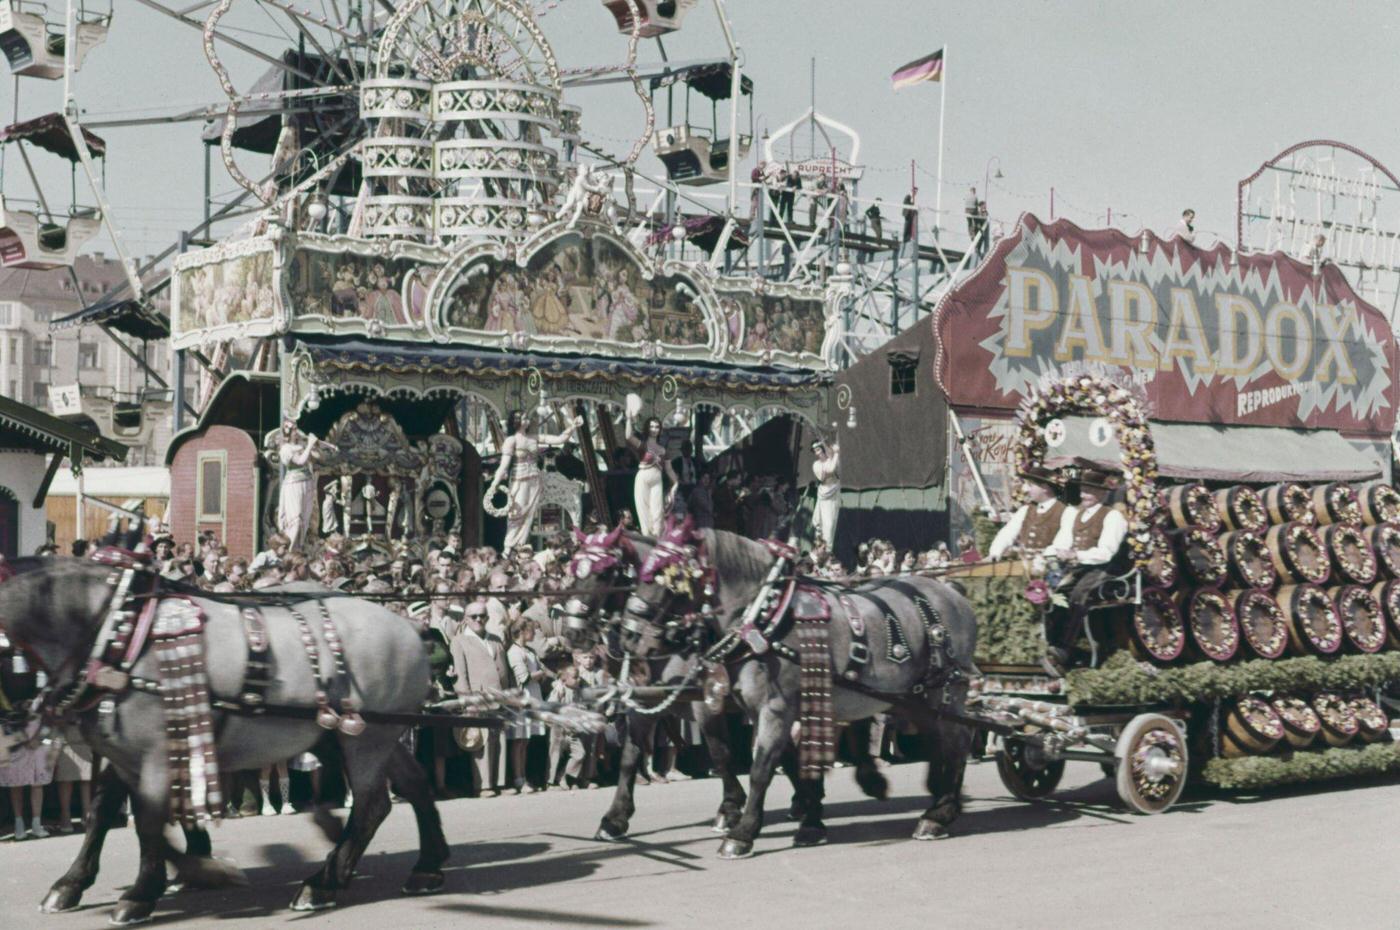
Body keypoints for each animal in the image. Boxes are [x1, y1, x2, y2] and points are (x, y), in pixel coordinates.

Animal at [0, 554, 448, 924]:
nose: (25, 720)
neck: (115, 632)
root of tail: (409, 627)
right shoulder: (122, 753)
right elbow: (103, 812)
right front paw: (72, 883)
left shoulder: (157, 752)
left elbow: (147, 820)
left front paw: (146, 891)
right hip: (361, 735)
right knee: (413, 782)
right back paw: (425, 866)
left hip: (364, 738)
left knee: (373, 804)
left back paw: (321, 883)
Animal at [557, 526, 884, 845]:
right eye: (573, 569)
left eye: (605, 572)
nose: (572, 632)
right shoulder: (645, 702)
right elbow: (630, 756)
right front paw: (615, 818)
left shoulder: (707, 702)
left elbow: (721, 752)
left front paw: (731, 809)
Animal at [618, 515, 980, 857]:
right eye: (639, 574)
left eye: (666, 576)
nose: (629, 636)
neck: (765, 617)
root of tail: (953, 592)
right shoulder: (764, 710)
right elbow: (785, 762)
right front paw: (809, 821)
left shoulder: (775, 708)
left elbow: (762, 768)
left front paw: (742, 834)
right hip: (914, 698)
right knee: (940, 741)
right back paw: (939, 799)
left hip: (945, 692)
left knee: (959, 740)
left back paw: (938, 814)